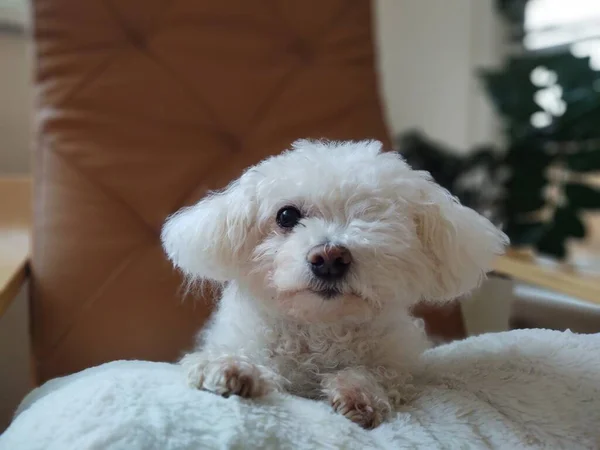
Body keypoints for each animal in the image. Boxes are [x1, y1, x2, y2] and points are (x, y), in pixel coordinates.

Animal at [161, 139, 506, 428]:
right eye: (286, 215)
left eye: (372, 216)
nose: (329, 257)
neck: (322, 328)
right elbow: (239, 358)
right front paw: (230, 368)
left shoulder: (396, 368)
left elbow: (377, 375)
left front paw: (359, 393)